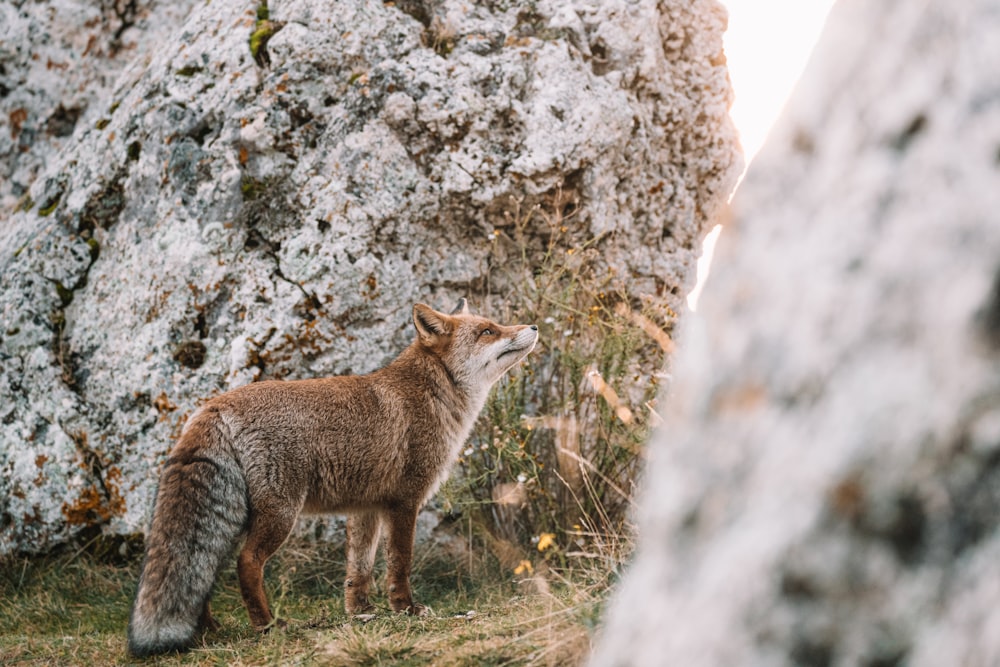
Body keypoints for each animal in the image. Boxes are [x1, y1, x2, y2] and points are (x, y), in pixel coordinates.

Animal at [127, 302, 540, 656]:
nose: (534, 326)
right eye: (488, 331)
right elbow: (400, 564)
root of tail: (213, 405)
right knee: (246, 564)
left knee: (202, 574)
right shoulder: (405, 501)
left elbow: (359, 569)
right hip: (279, 515)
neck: (430, 396)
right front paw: (406, 608)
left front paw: (360, 612)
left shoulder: (366, 508)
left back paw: (208, 632)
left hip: (233, 521)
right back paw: (267, 626)